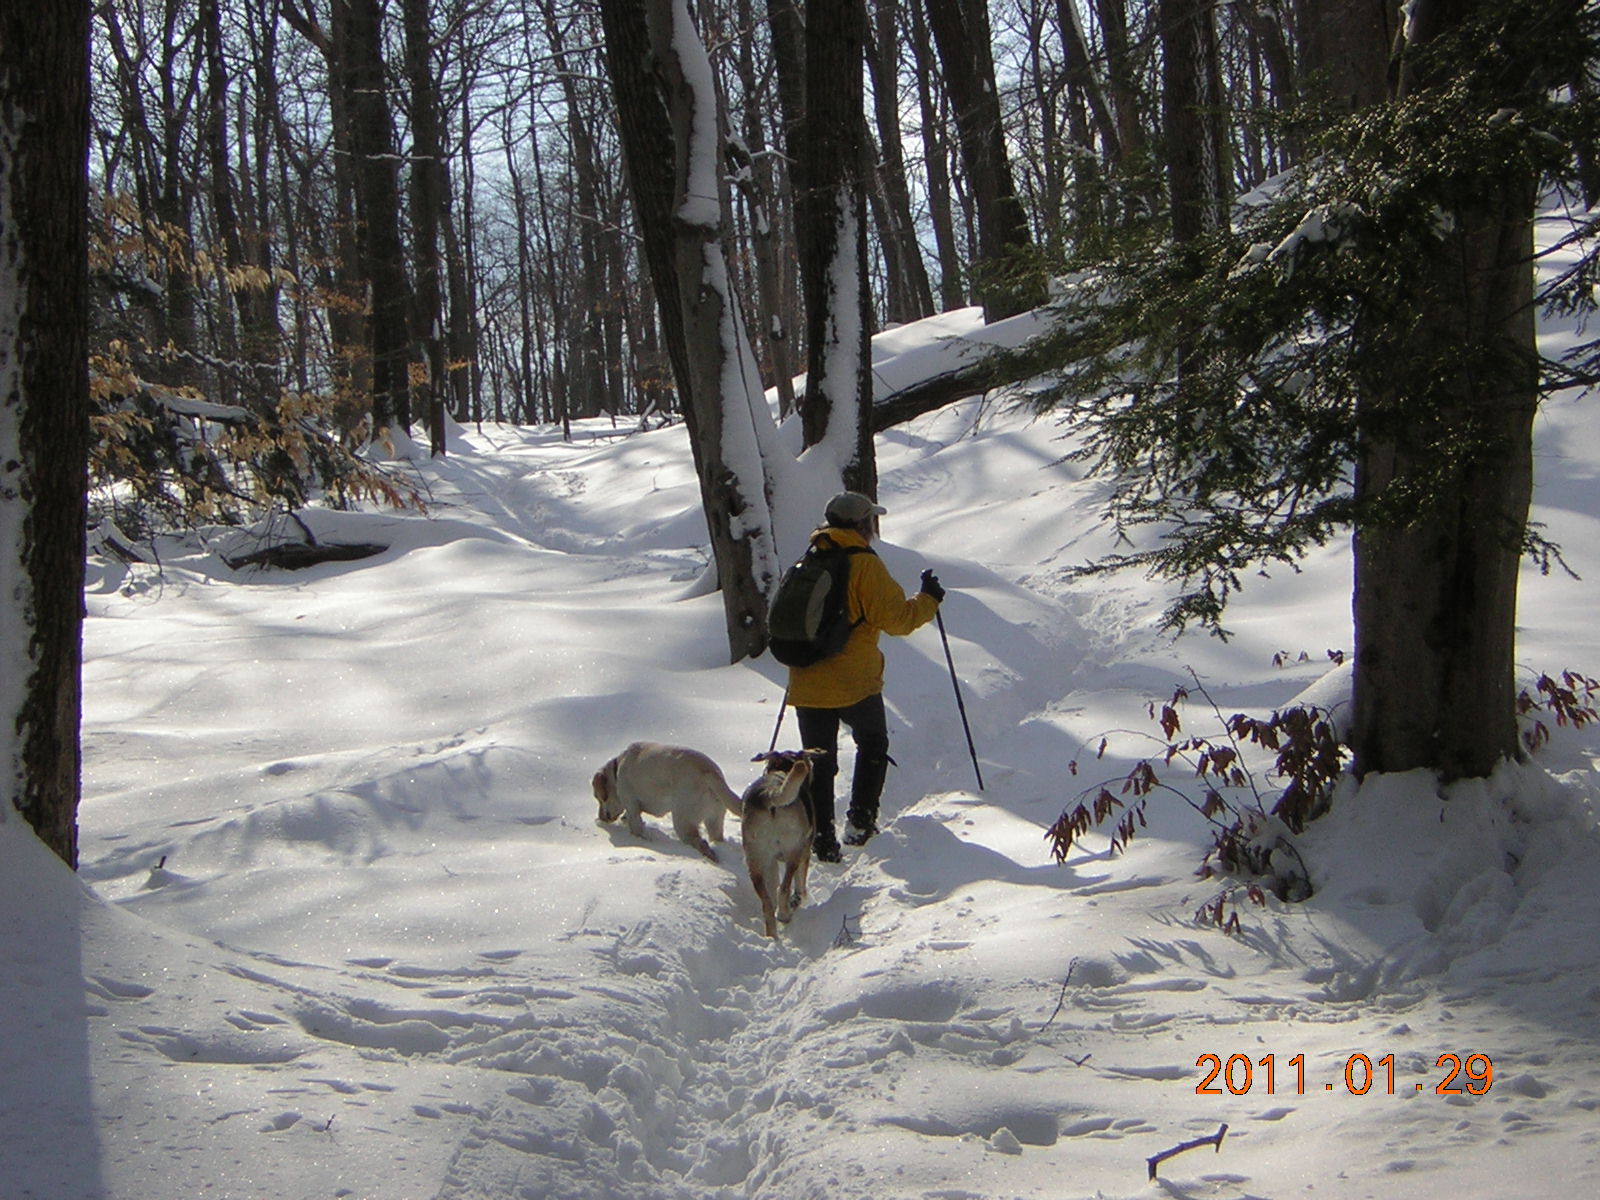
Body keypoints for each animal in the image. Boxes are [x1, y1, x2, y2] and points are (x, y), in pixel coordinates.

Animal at [592, 742, 739, 864]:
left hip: (682, 821)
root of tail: (710, 772)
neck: (617, 769)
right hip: (714, 820)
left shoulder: (632, 806)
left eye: (598, 797)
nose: (600, 818)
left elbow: (636, 828)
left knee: (702, 843)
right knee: (716, 839)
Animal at [732, 752, 819, 940]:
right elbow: (799, 884)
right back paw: (785, 915)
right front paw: (800, 898)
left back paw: (772, 936)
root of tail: (768, 794)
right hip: (793, 852)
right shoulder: (804, 851)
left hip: (755, 860)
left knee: (767, 903)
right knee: (784, 888)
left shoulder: (770, 862)